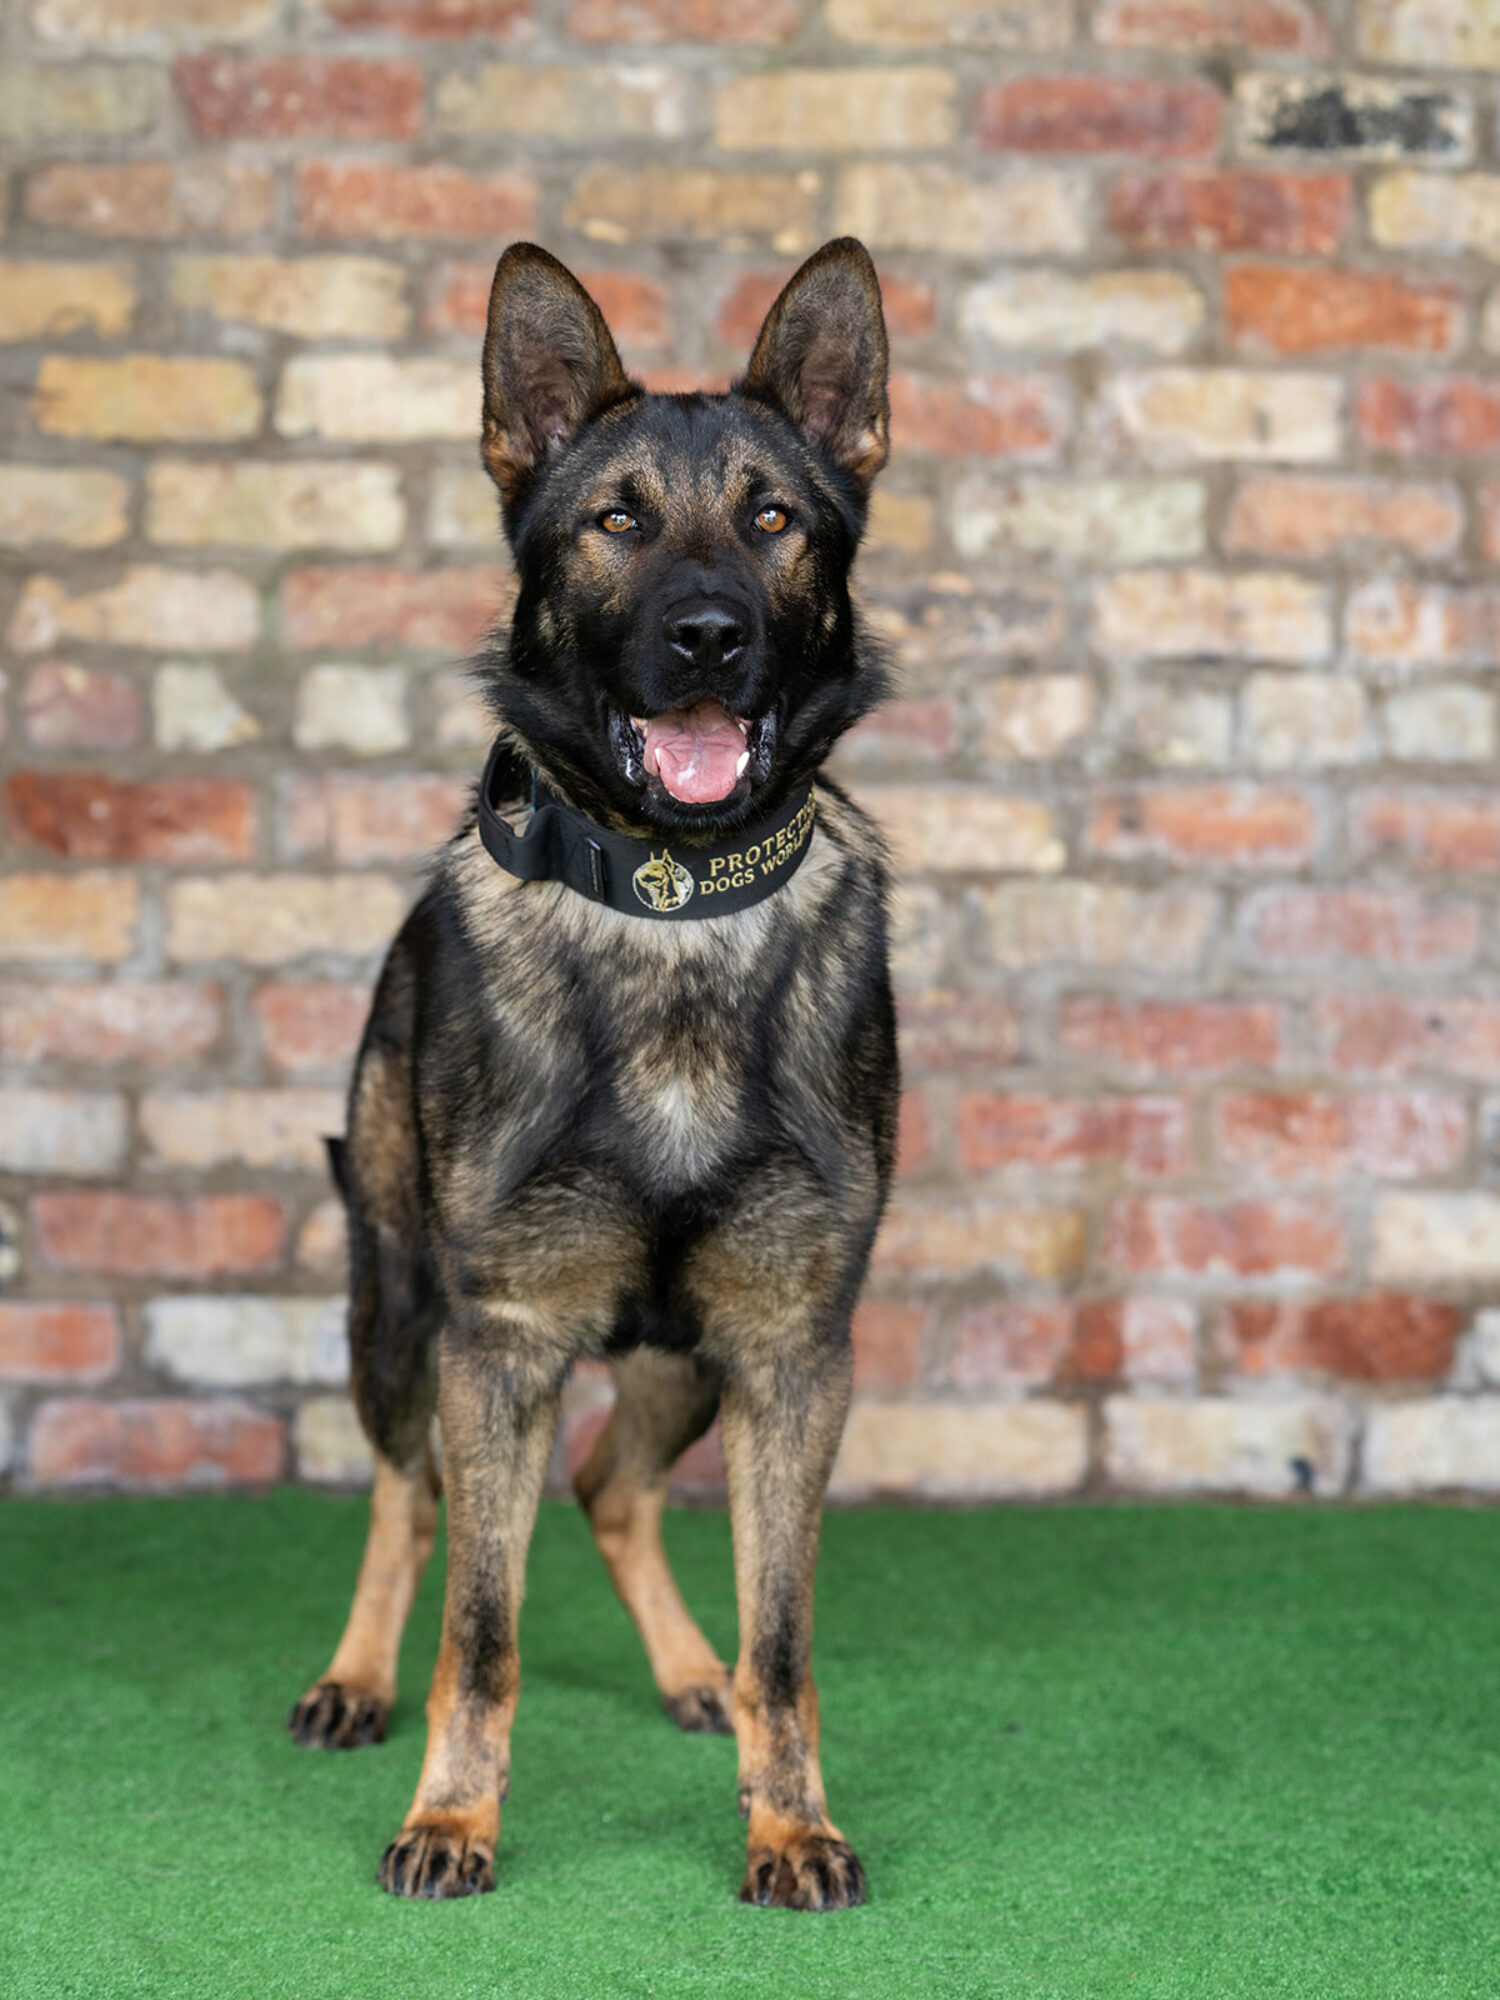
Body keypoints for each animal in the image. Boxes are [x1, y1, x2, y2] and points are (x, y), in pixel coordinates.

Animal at [288, 237, 900, 1914]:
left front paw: (788, 1820)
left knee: (615, 1492)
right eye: (617, 522)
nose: (708, 636)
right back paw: (355, 1680)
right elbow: (482, 1628)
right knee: (407, 1494)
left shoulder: (792, 1352)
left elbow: (786, 1635)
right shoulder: (499, 1340)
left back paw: (698, 1680)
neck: (672, 904)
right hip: (402, 1313)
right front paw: (453, 1819)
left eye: (773, 521)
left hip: (688, 1357)